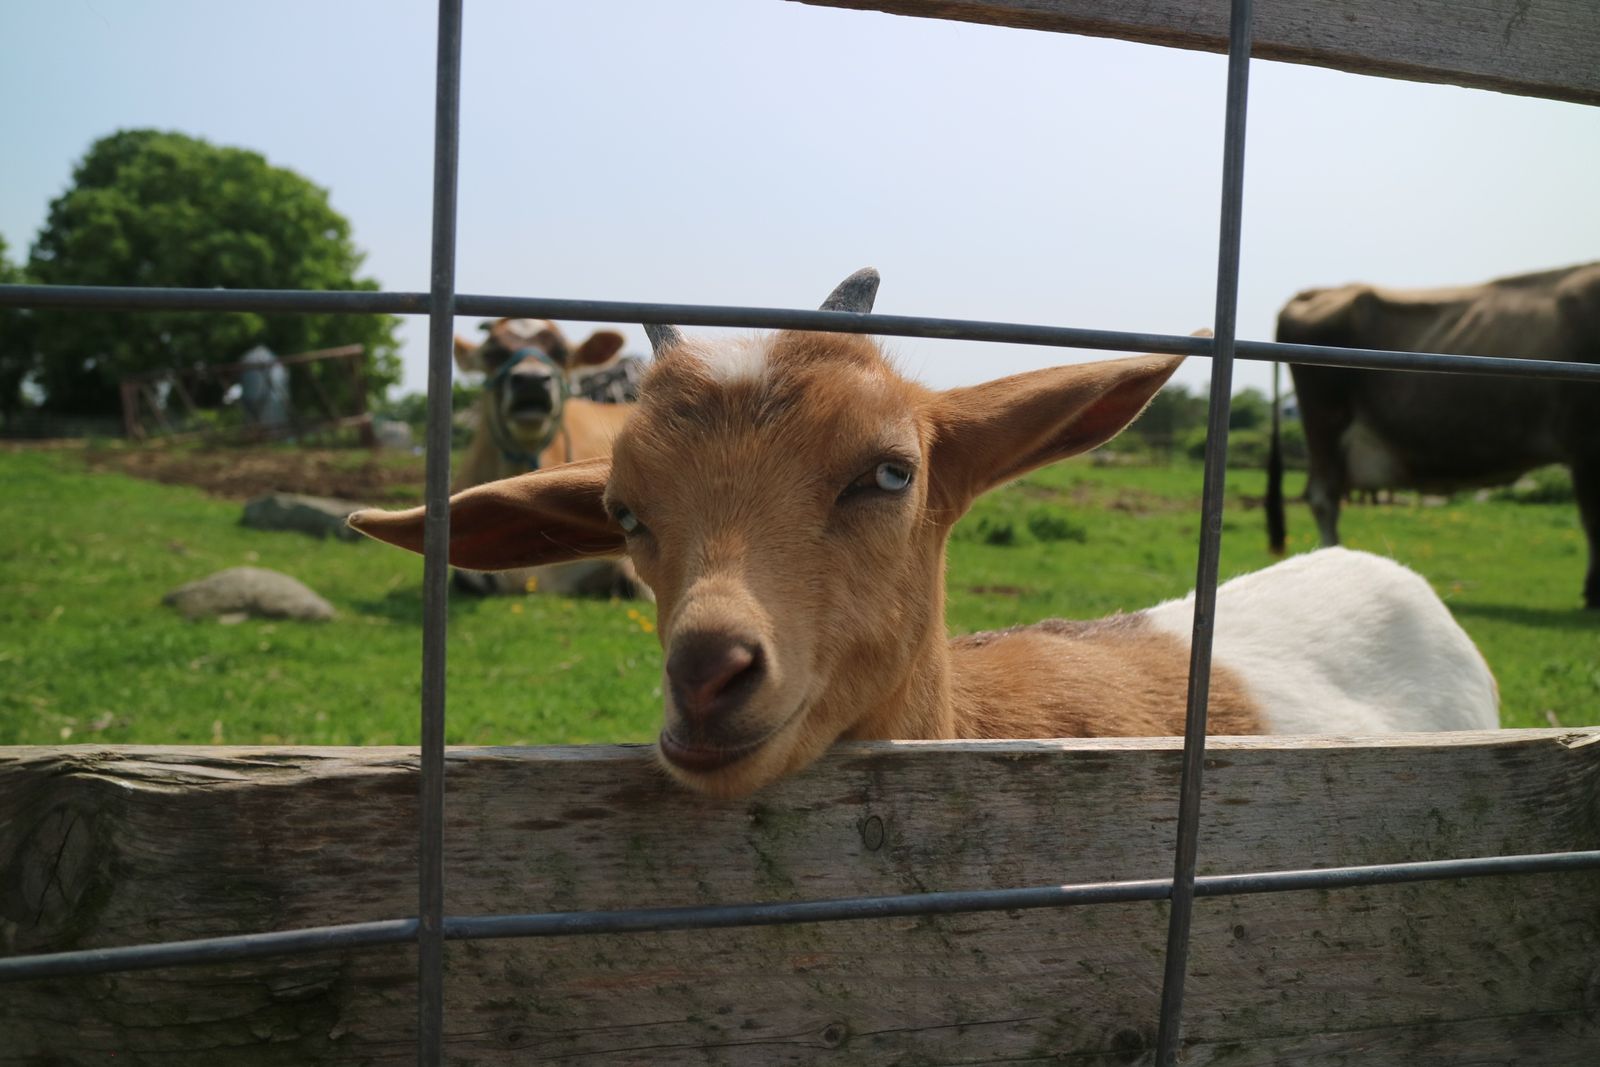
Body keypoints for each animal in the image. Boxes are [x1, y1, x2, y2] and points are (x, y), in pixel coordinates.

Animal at [1267, 262, 1600, 608]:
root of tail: (1314, 293)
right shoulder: (1585, 443)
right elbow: (1594, 520)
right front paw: (1593, 592)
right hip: (1325, 422)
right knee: (1324, 498)